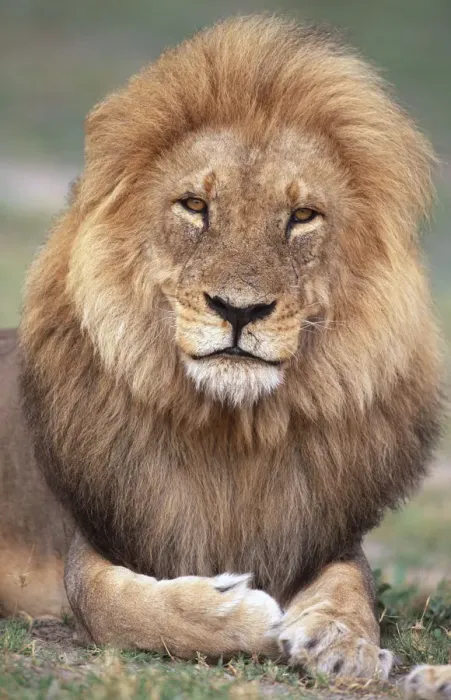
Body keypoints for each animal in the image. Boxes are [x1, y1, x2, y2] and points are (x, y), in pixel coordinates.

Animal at [0, 15, 444, 683]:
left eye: (302, 216)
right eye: (195, 206)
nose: (239, 310)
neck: (234, 430)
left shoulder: (324, 533)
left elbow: (353, 588)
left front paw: (344, 642)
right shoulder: (93, 542)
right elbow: (120, 607)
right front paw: (245, 614)